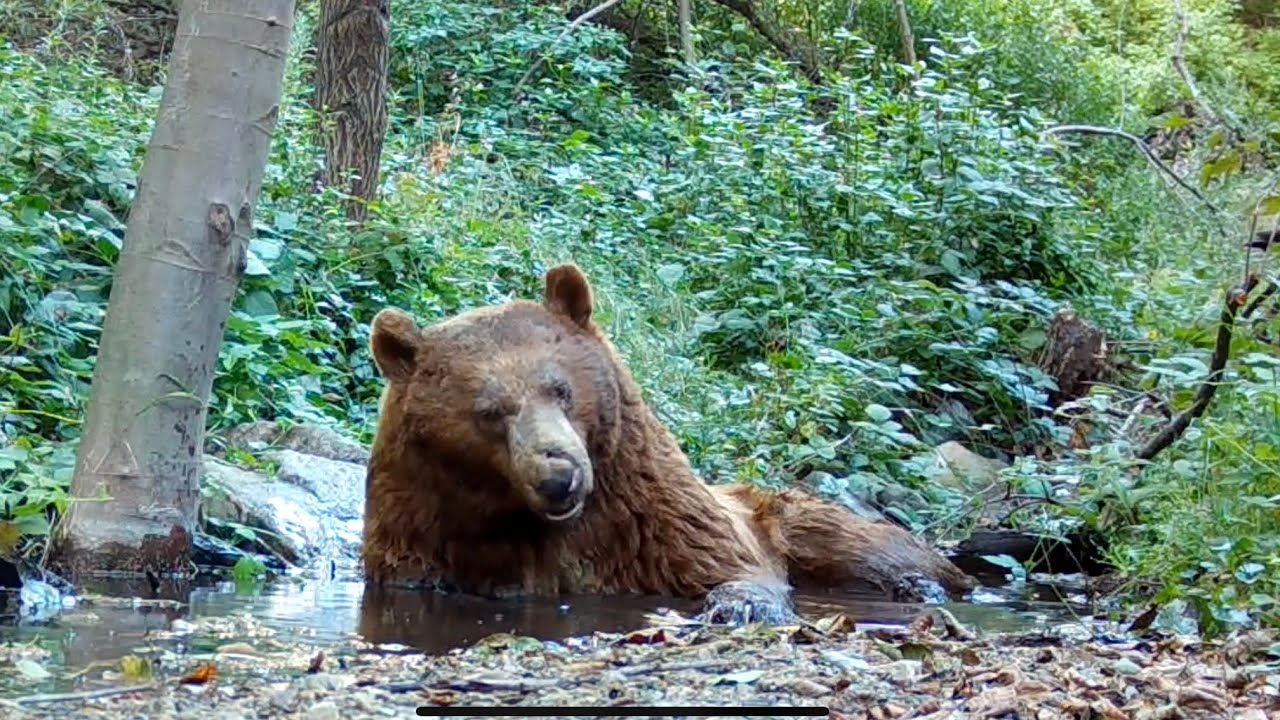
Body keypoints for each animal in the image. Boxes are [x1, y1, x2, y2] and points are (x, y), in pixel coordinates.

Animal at [361, 263, 977, 622]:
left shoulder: (654, 523)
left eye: (560, 388)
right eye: (489, 411)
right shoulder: (428, 532)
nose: (560, 475)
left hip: (803, 519)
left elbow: (728, 567)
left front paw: (739, 607)